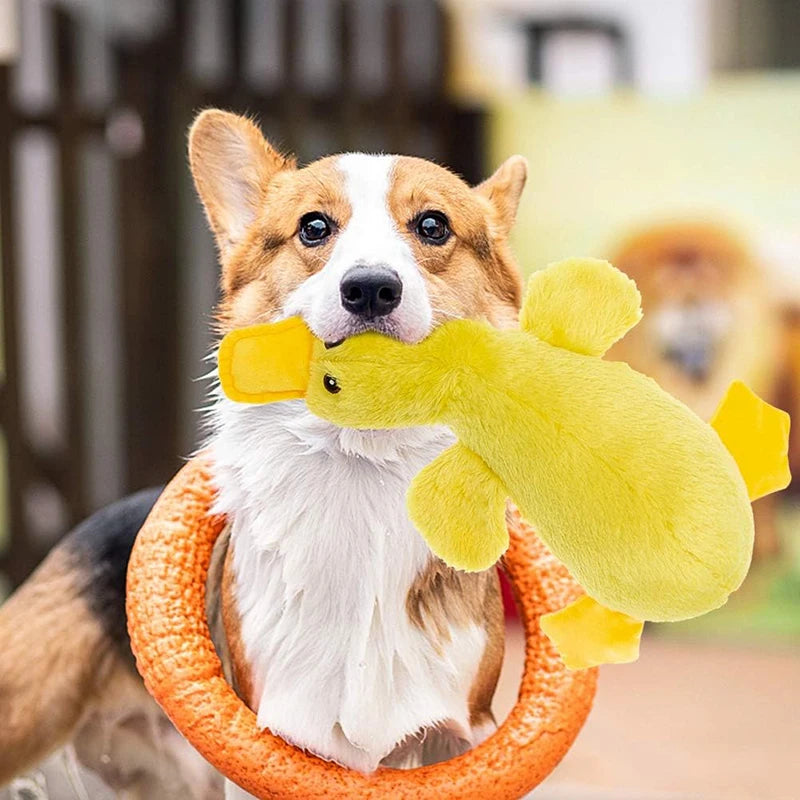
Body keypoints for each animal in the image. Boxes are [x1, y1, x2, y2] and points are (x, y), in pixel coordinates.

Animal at [0, 109, 528, 796]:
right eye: (314, 227)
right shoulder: (272, 740)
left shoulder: (459, 734)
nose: (370, 289)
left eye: (433, 225)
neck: (361, 468)